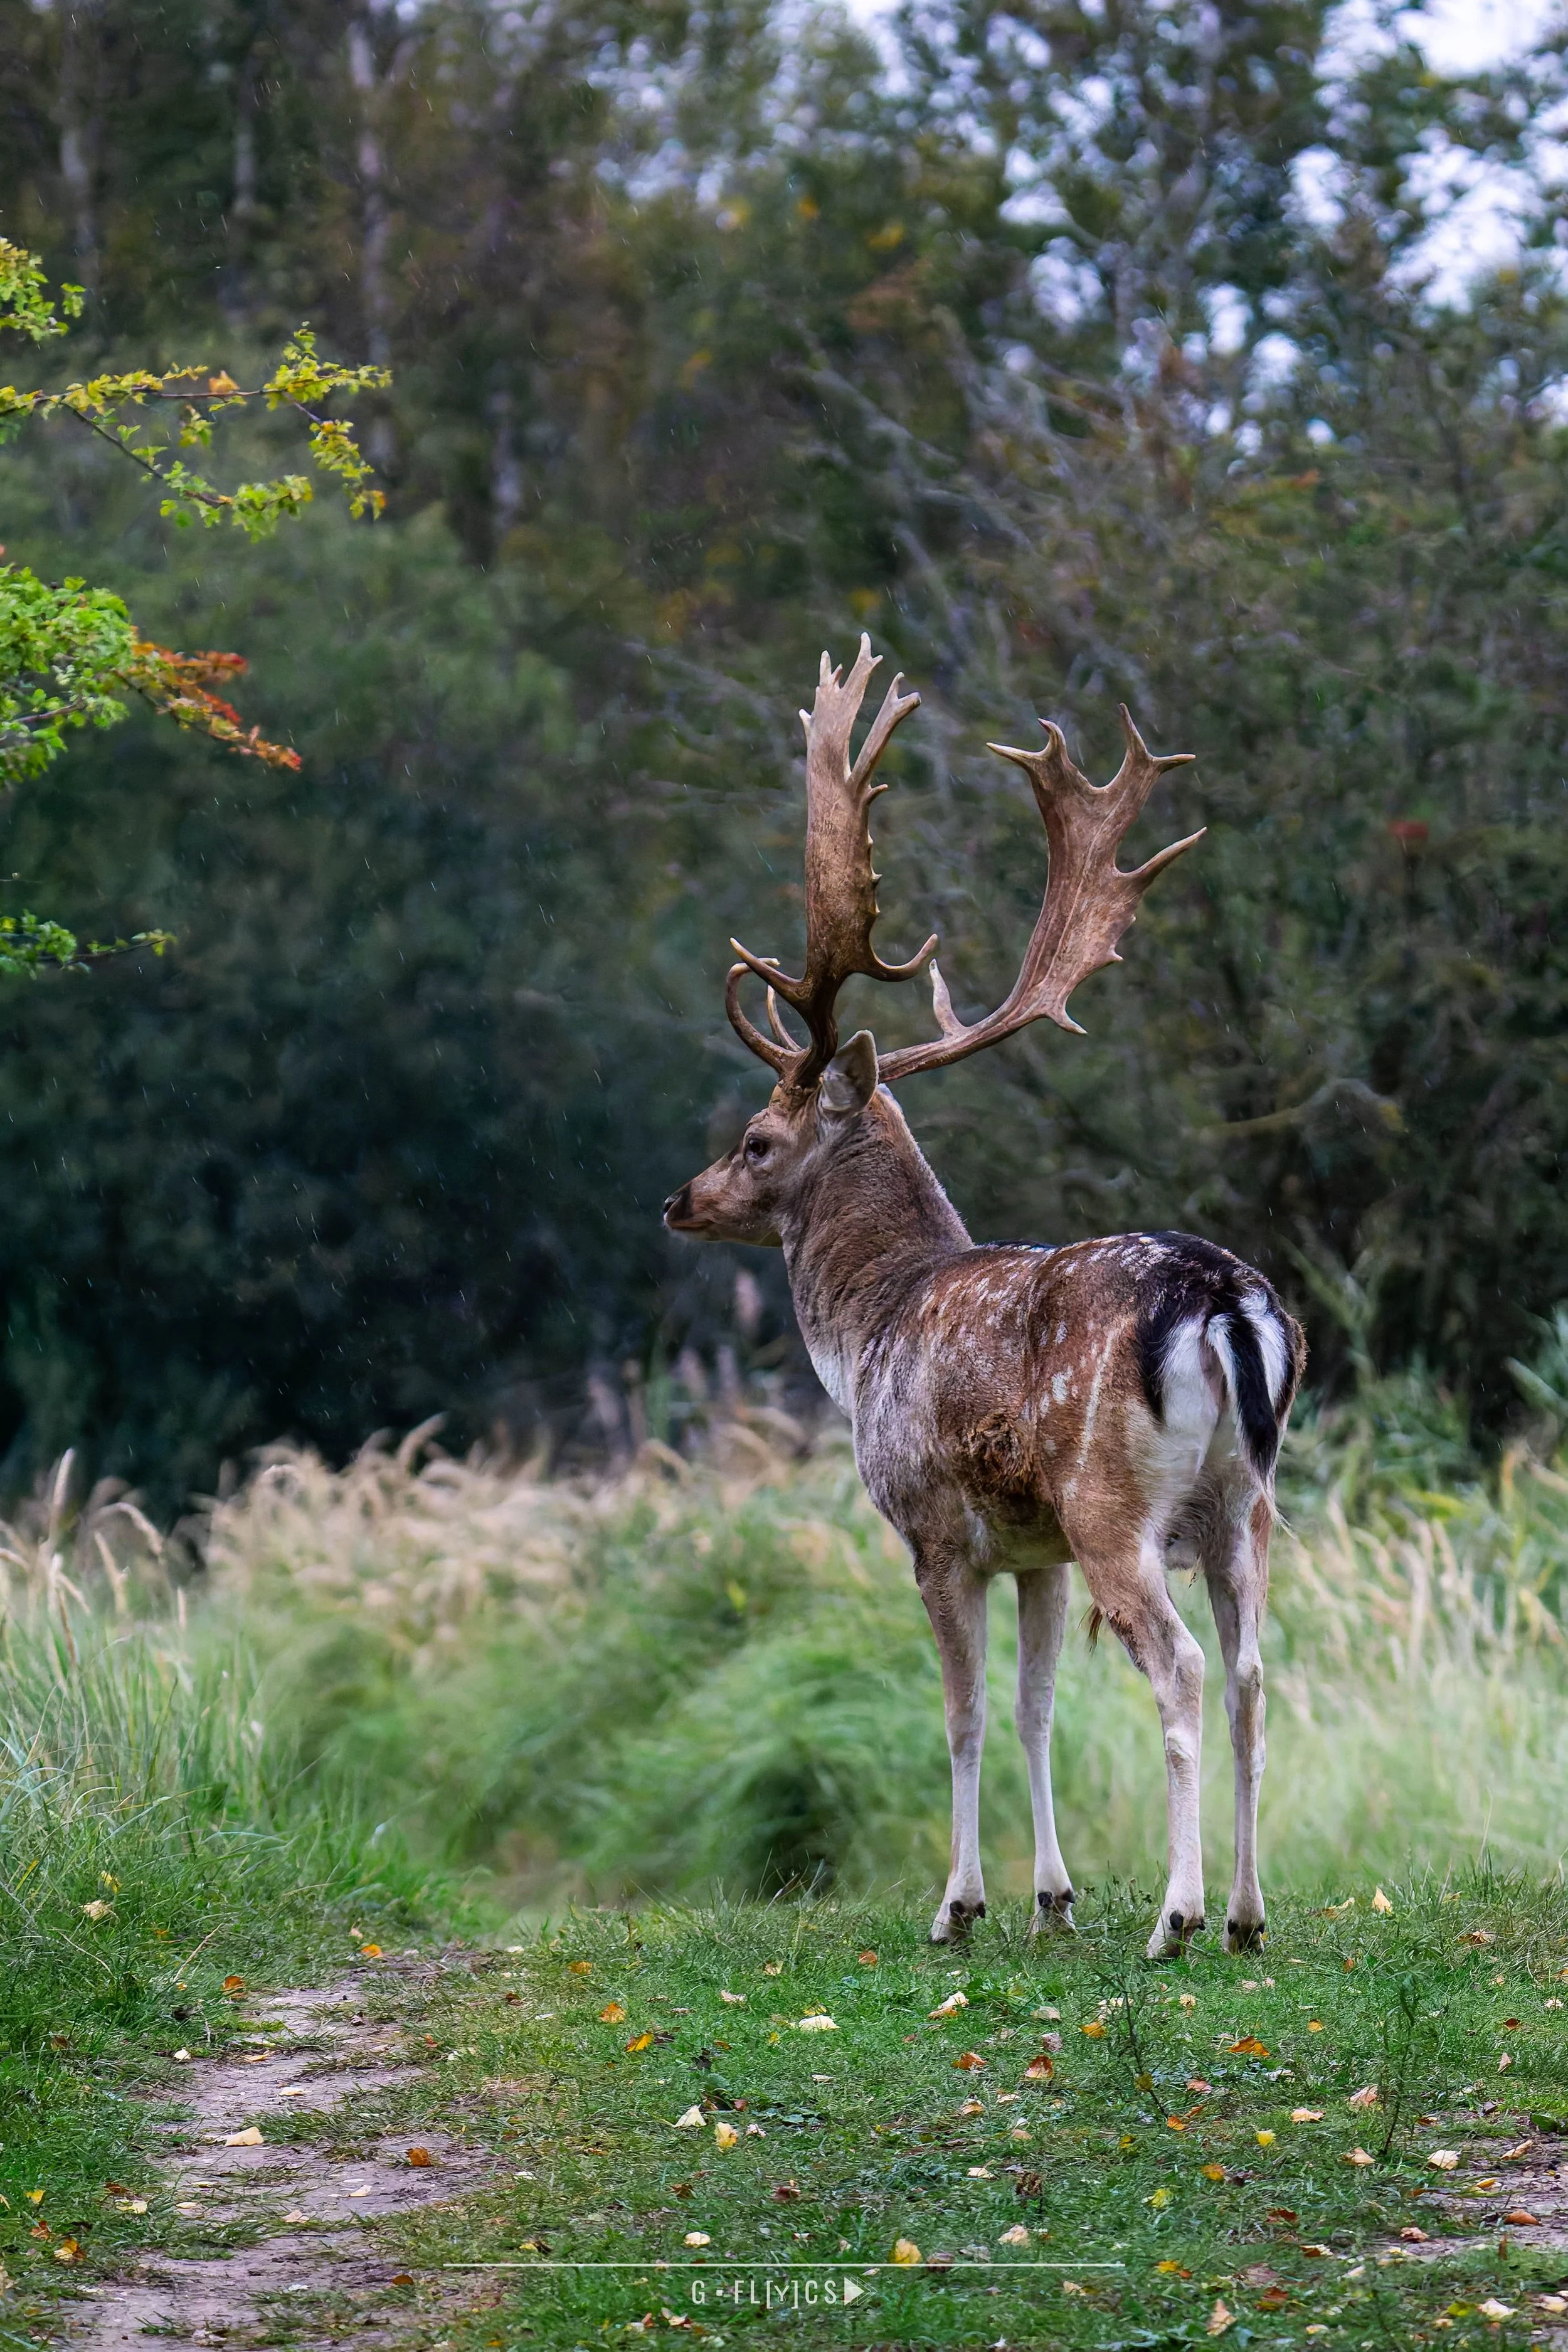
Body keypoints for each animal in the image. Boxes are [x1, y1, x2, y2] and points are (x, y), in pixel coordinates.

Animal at [663, 638, 1305, 1959]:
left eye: (756, 1140)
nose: (678, 1200)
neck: (868, 1329)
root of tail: (1224, 1300)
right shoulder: (1035, 1550)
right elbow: (1033, 1709)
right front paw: (1051, 1896)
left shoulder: (931, 1528)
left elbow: (959, 1715)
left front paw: (958, 1903)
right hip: (1243, 1503)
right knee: (1255, 1674)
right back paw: (1246, 1915)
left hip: (1117, 1503)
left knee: (1181, 1671)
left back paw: (1175, 1917)